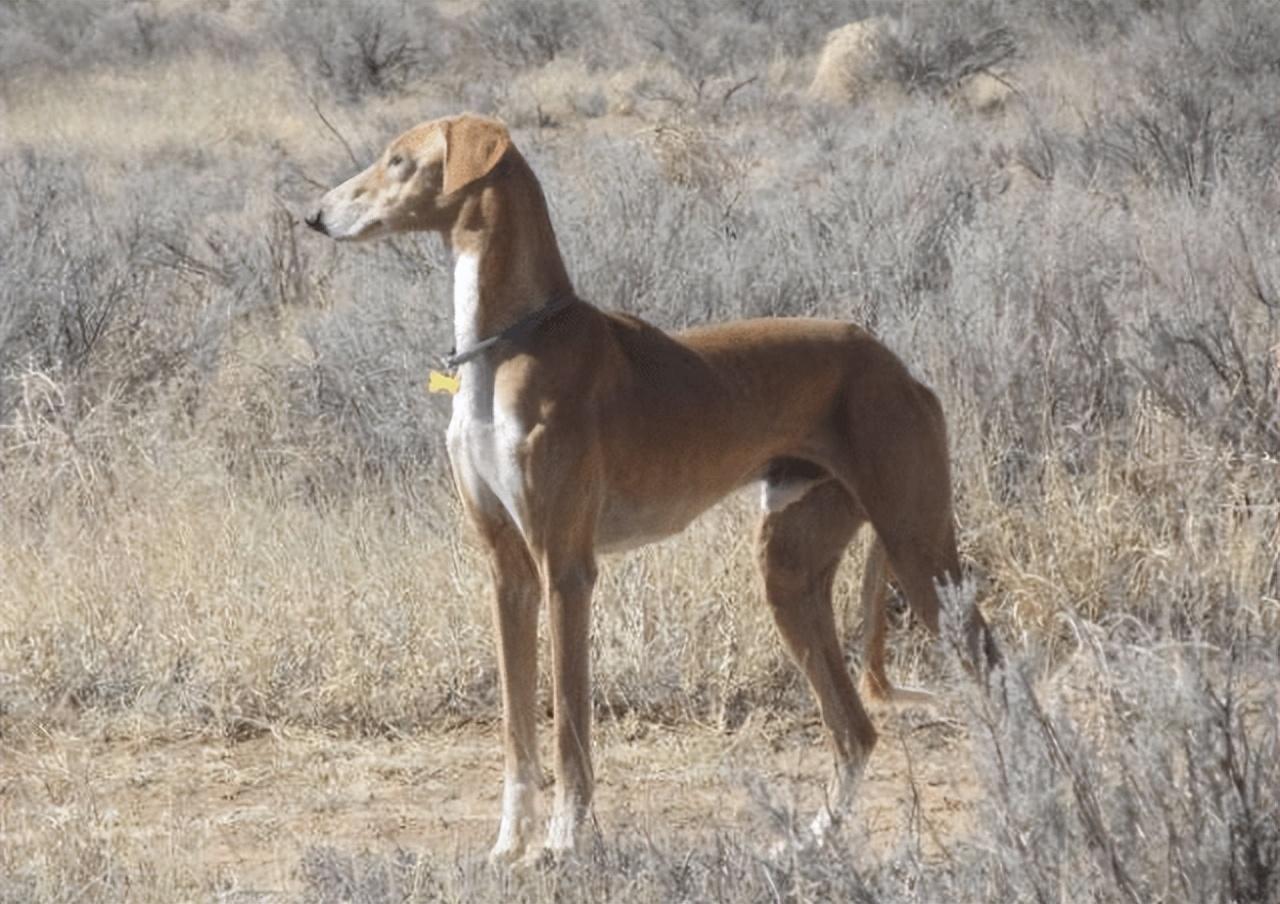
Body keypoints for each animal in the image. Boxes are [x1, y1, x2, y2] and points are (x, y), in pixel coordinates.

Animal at [307, 112, 998, 860]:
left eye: (399, 161)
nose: (313, 215)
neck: (507, 346)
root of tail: (897, 365)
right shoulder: (507, 572)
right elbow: (517, 730)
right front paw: (508, 848)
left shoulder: (566, 570)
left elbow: (567, 724)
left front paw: (562, 843)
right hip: (791, 571)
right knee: (855, 731)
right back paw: (809, 843)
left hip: (919, 548)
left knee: (994, 675)